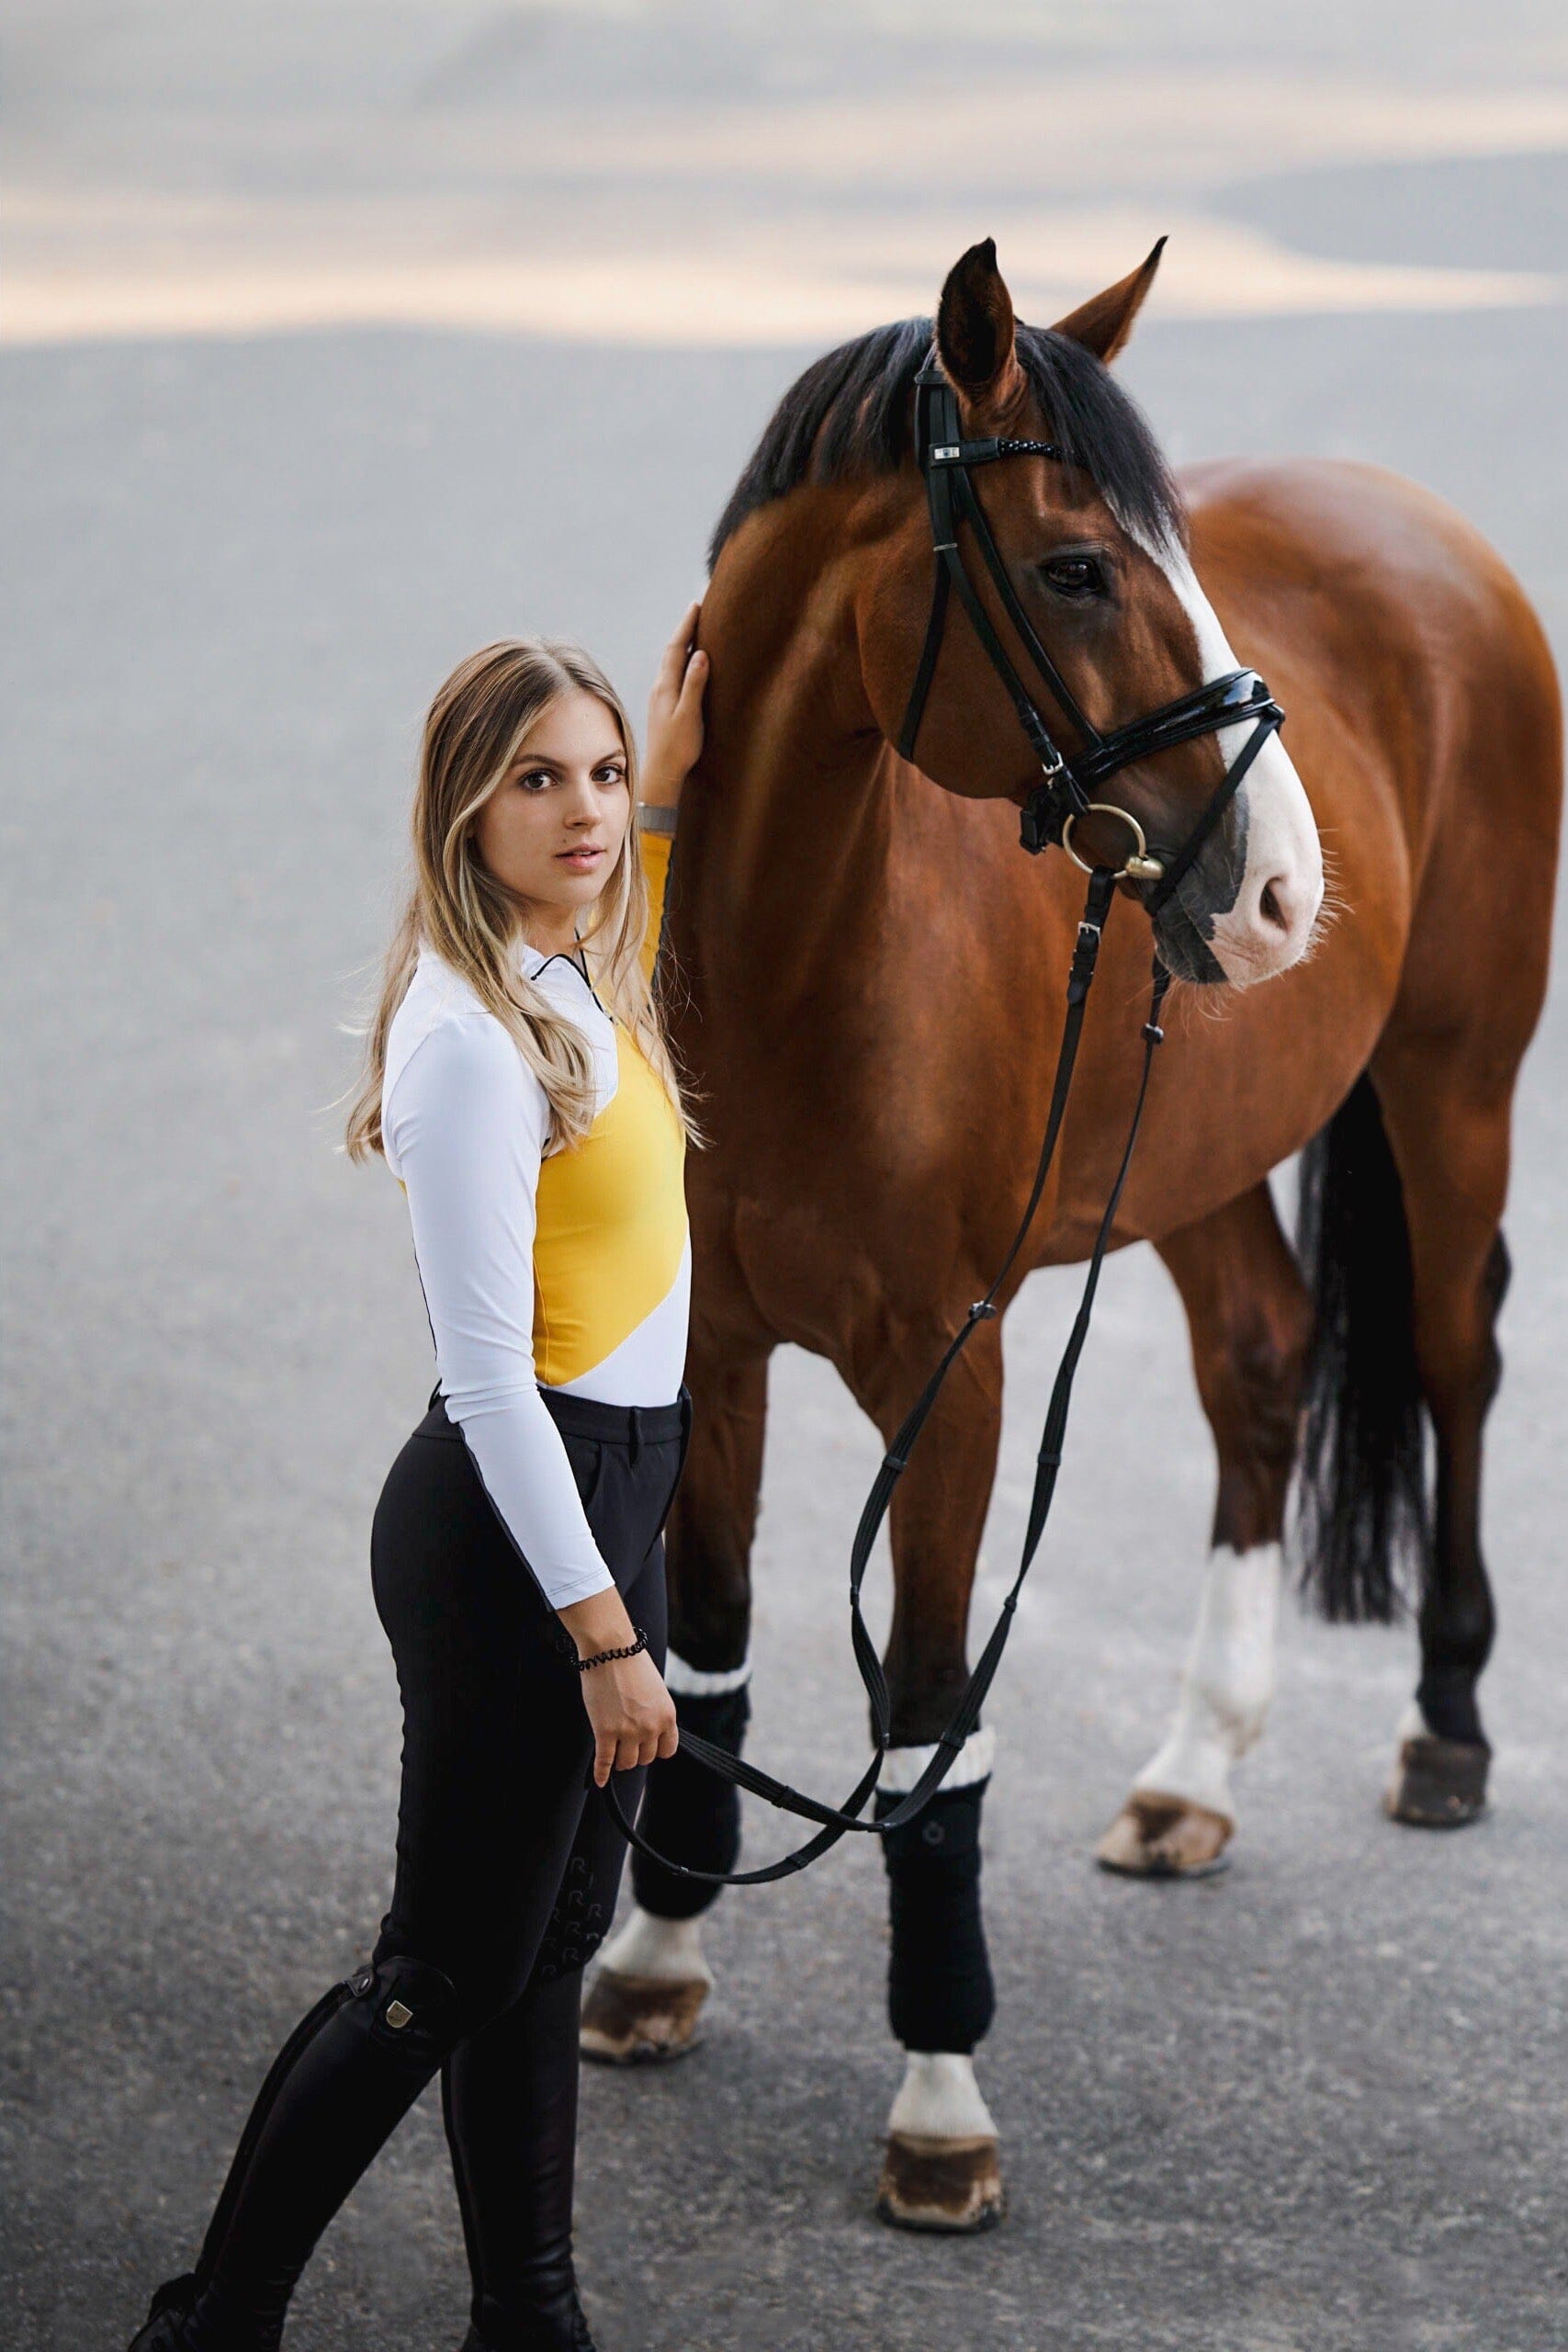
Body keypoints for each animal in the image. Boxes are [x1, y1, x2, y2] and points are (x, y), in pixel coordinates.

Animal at [582, 243, 1561, 2239]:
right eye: (1077, 569)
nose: (1282, 889)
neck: (801, 975)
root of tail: (1418, 523)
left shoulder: (946, 1383)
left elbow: (930, 1718)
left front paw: (939, 2097)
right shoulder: (717, 1350)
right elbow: (708, 1642)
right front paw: (655, 1955)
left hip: (1452, 1083)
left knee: (1449, 1352)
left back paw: (1443, 1724)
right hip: (1185, 1144)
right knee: (1260, 1360)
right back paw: (1193, 1769)